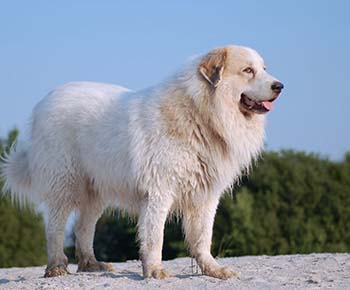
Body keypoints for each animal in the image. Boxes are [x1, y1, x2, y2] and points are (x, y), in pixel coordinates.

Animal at [0, 45, 284, 278]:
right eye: (248, 70)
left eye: (264, 69)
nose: (279, 86)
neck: (200, 114)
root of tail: (45, 100)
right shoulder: (159, 192)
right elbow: (155, 236)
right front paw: (155, 270)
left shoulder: (205, 196)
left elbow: (203, 238)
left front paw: (212, 269)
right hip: (65, 183)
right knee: (55, 228)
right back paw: (57, 267)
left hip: (96, 190)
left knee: (83, 227)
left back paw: (91, 264)